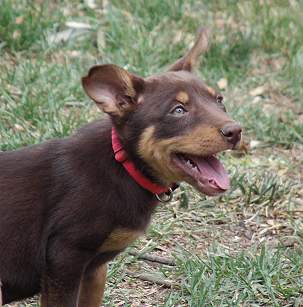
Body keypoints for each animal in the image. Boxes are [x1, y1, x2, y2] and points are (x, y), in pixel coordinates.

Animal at [0, 27, 242, 306]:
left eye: (219, 100)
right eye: (178, 110)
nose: (236, 131)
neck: (125, 166)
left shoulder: (94, 269)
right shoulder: (65, 257)